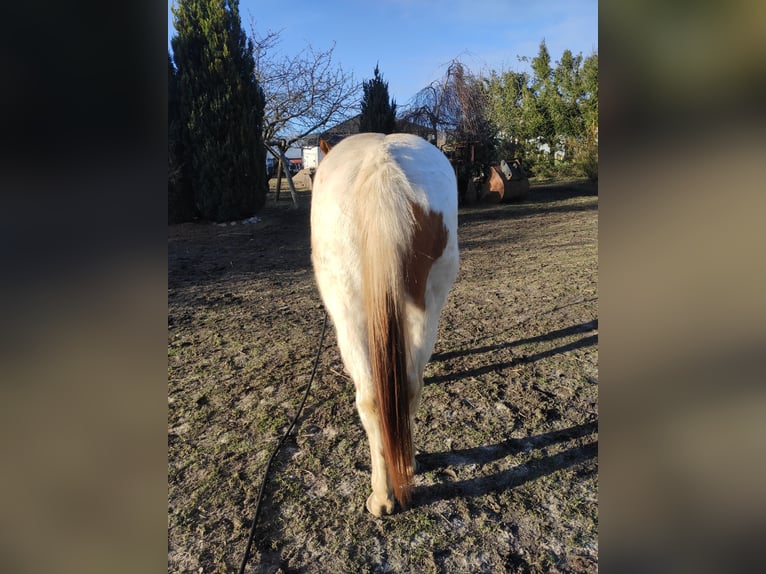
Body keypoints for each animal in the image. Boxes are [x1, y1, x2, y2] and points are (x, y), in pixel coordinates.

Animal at [310, 134, 460, 516]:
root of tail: (383, 167)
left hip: (348, 311)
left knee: (371, 398)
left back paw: (382, 496)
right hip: (428, 303)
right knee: (408, 386)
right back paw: (405, 466)